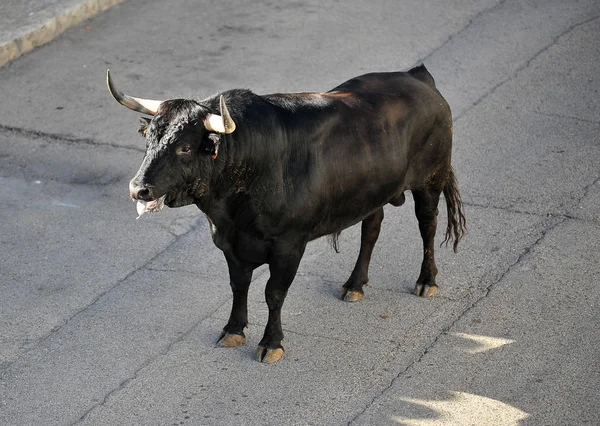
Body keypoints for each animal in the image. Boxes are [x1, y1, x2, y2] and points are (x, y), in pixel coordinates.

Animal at [106, 63, 464, 362]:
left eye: (184, 147)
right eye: (150, 139)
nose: (138, 188)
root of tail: (417, 77)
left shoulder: (289, 245)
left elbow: (273, 293)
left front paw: (271, 343)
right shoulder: (230, 242)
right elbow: (239, 285)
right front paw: (233, 330)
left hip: (430, 180)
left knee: (427, 225)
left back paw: (426, 281)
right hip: (372, 192)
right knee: (371, 228)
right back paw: (354, 285)